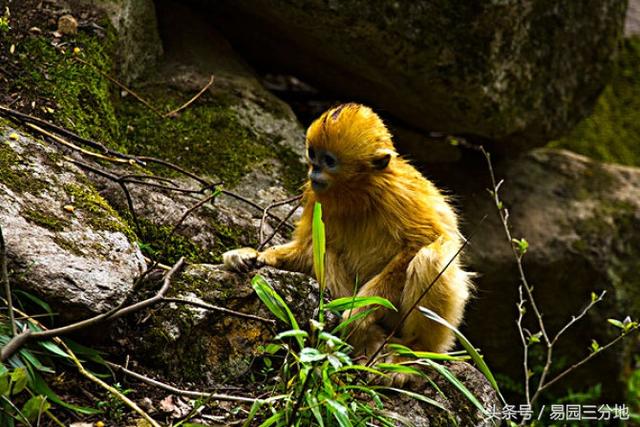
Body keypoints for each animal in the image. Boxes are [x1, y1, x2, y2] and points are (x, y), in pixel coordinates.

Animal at [224, 104, 470, 362]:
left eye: (329, 161)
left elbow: (424, 240)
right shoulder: (316, 196)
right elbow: (306, 248)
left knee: (430, 256)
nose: (314, 171)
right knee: (326, 250)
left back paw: (411, 350)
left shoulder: (398, 193)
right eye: (313, 155)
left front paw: (359, 313)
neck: (358, 192)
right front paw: (252, 255)